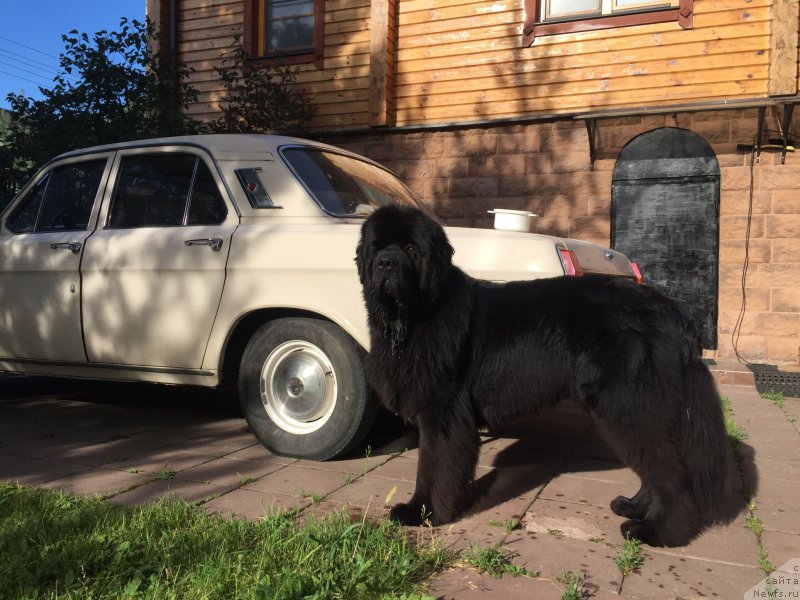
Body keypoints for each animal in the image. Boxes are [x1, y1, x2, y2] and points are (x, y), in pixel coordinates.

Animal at [356, 205, 732, 548]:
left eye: (411, 249)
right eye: (377, 247)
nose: (386, 263)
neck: (417, 317)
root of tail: (674, 311)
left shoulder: (443, 414)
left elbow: (432, 468)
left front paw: (424, 513)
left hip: (626, 404)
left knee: (669, 473)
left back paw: (658, 532)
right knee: (655, 465)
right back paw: (634, 508)